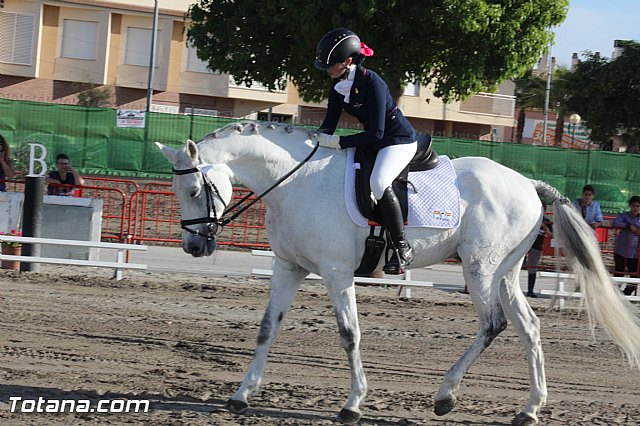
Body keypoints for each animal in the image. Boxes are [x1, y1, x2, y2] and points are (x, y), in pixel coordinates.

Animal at [158, 121, 640, 424]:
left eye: (196, 188)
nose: (193, 247)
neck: (294, 182)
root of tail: (528, 183)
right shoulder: (289, 268)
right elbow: (266, 329)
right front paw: (241, 396)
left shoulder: (336, 273)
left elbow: (349, 334)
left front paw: (352, 405)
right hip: (503, 273)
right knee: (529, 327)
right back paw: (530, 408)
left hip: (479, 269)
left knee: (493, 323)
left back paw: (446, 396)